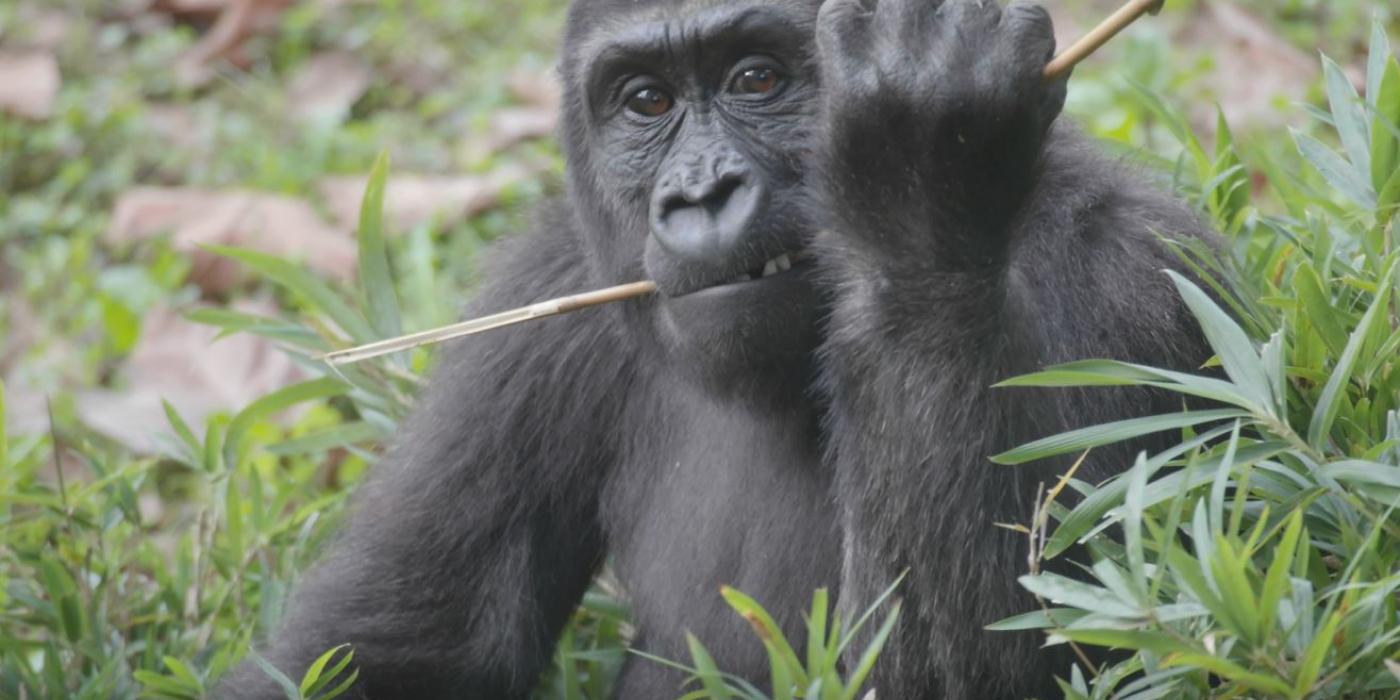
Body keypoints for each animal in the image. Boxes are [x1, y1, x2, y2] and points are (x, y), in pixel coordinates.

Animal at [218, 0, 1215, 697]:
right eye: (646, 100)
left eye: (758, 80)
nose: (699, 193)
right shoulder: (539, 306)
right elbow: (393, 653)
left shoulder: (1120, 276)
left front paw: (920, 187)